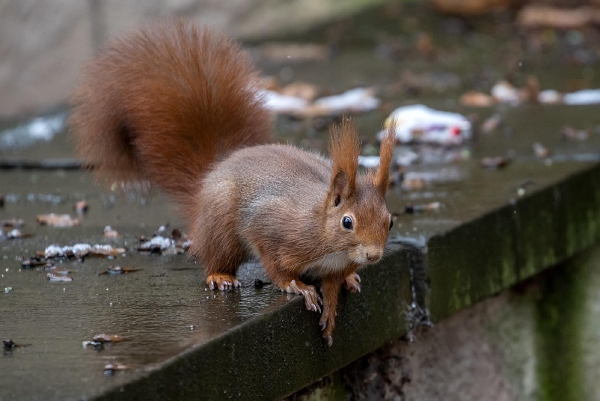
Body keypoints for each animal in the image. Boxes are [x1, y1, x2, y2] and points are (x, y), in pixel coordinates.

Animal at [68, 19, 396, 344]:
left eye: (390, 221)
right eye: (347, 222)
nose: (374, 255)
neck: (328, 242)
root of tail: (210, 177)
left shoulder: (333, 267)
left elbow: (332, 285)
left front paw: (331, 309)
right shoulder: (270, 226)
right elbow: (275, 264)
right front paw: (297, 286)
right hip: (222, 228)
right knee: (217, 255)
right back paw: (220, 276)